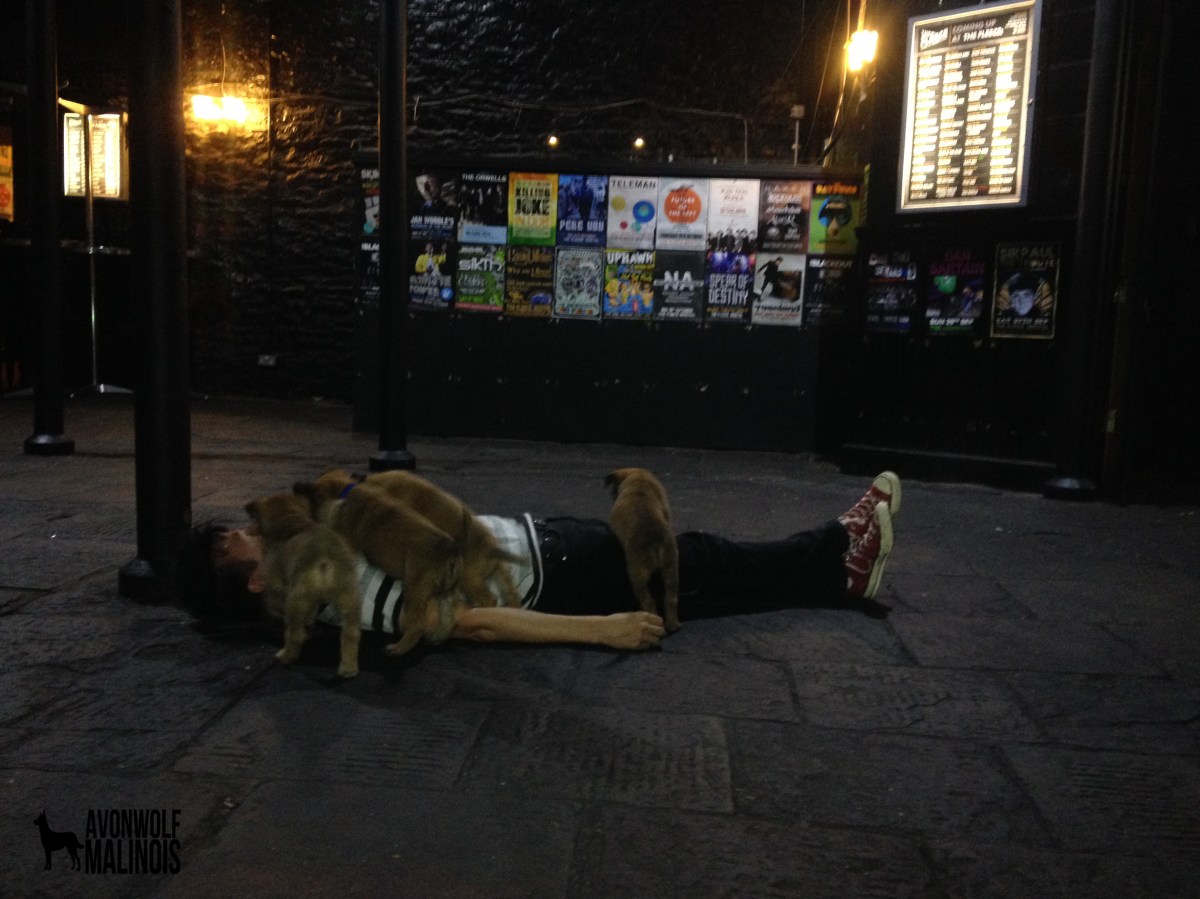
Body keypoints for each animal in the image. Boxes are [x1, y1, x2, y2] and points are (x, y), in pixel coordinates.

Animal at [244, 492, 363, 678]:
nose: (249, 530)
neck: (294, 527)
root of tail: (324, 561)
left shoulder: (275, 581)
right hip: (349, 598)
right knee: (351, 634)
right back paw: (348, 668)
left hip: (296, 602)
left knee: (295, 634)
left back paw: (286, 656)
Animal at [293, 478, 463, 657]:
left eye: (312, 494)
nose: (298, 486)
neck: (345, 492)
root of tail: (450, 552)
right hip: (443, 593)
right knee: (449, 615)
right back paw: (439, 637)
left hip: (414, 590)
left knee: (417, 626)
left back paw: (398, 649)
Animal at [605, 467, 681, 632]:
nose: (612, 496)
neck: (639, 478)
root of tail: (655, 540)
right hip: (671, 569)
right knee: (671, 599)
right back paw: (673, 625)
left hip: (637, 574)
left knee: (648, 601)